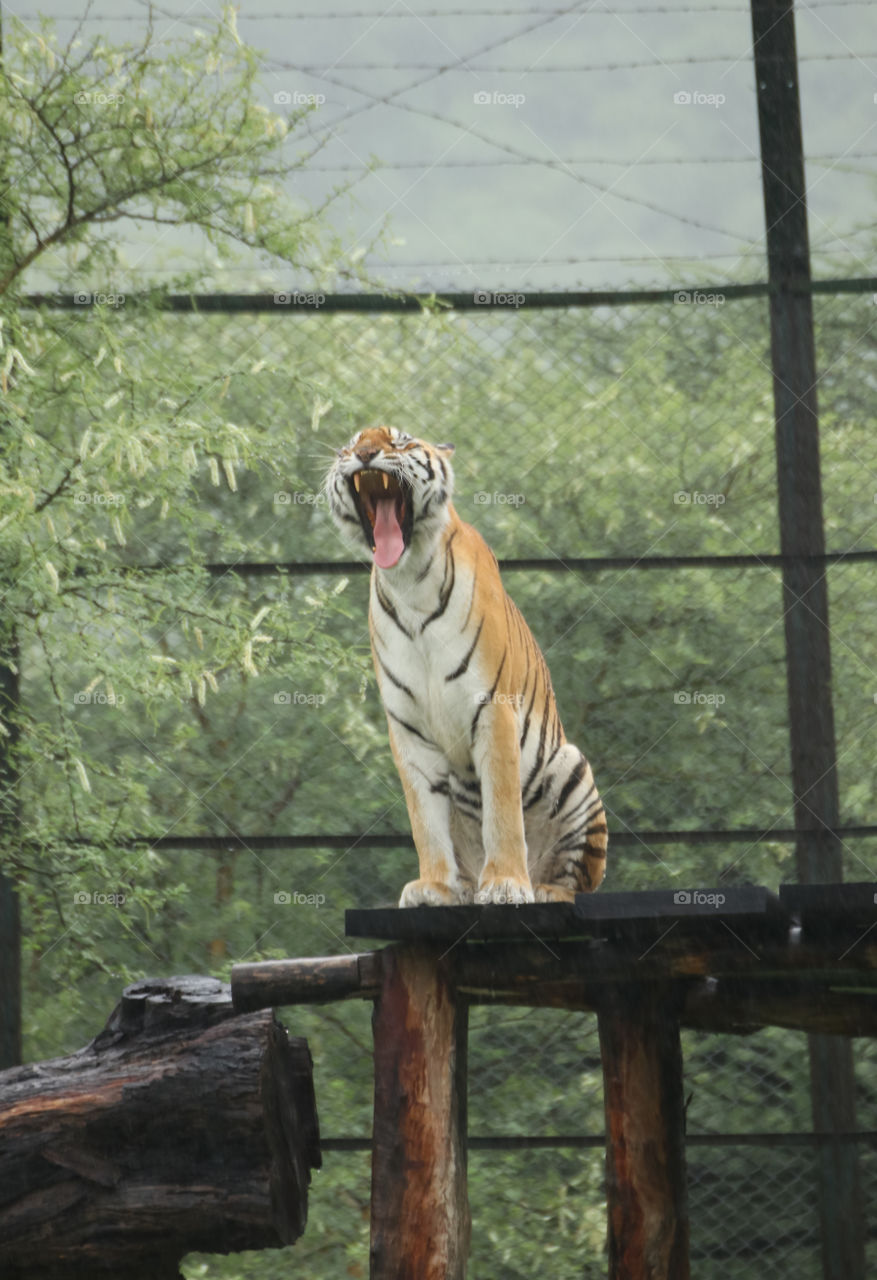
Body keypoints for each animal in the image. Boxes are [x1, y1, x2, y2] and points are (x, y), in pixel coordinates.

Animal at [325, 424, 607, 907]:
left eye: (399, 441)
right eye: (349, 445)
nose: (363, 454)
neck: (408, 581)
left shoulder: (493, 707)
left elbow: (502, 810)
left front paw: (508, 884)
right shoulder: (409, 730)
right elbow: (426, 822)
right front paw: (435, 886)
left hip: (572, 767)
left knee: (578, 883)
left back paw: (542, 888)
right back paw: (466, 888)